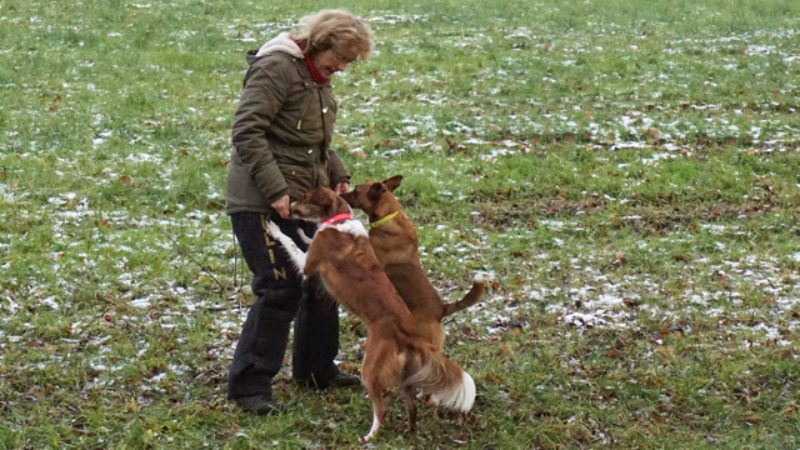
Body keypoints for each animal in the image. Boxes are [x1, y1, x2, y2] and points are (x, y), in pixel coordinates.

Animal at [268, 187, 476, 442]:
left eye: (306, 197)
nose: (288, 207)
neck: (339, 220)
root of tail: (408, 333)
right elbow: (304, 238)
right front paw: (300, 231)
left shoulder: (308, 265)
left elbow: (290, 242)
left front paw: (275, 229)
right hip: (406, 376)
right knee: (412, 407)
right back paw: (408, 432)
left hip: (370, 368)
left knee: (381, 409)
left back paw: (369, 437)